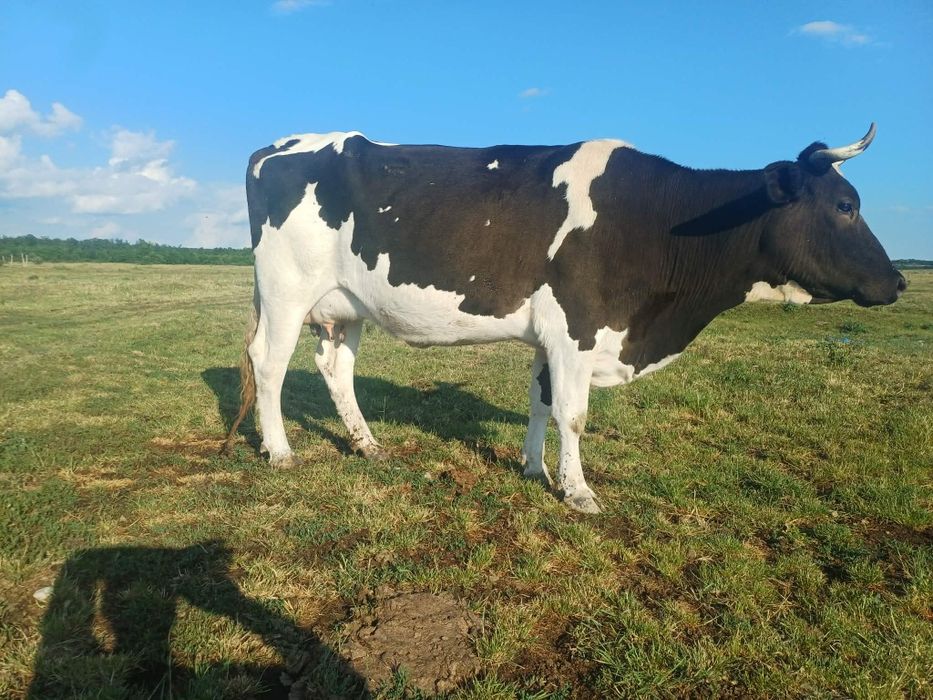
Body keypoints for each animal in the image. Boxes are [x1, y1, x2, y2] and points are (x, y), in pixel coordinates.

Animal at [222, 124, 905, 513]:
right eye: (845, 206)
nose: (898, 281)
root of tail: (278, 145)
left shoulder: (550, 336)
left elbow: (540, 402)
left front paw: (533, 468)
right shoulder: (579, 327)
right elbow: (573, 414)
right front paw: (578, 491)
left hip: (346, 305)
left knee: (335, 367)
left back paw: (367, 445)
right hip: (285, 291)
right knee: (270, 364)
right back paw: (280, 450)